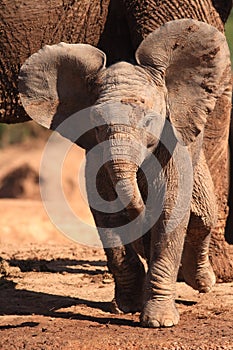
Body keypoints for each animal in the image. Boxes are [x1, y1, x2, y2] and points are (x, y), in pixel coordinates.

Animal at [0, 0, 233, 328]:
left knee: (201, 218)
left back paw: (203, 280)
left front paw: (159, 321)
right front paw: (126, 307)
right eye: (95, 122)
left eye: (149, 121)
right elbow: (107, 212)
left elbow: (171, 205)